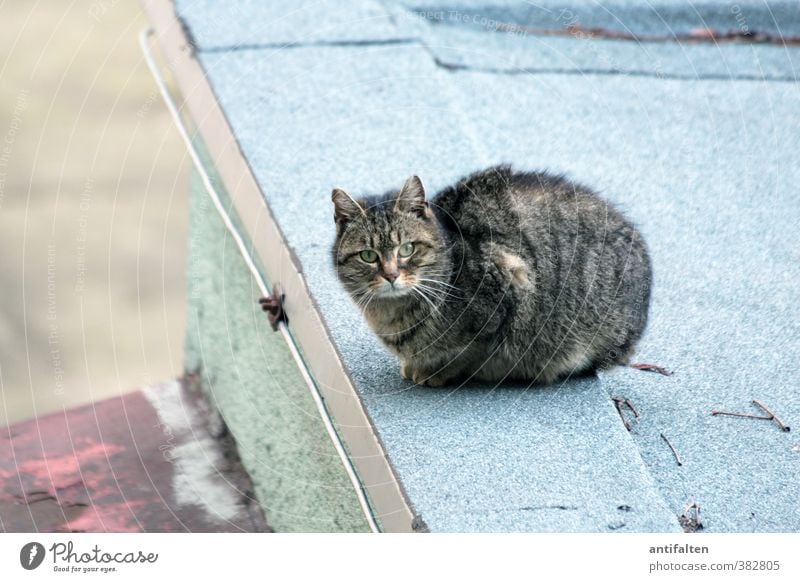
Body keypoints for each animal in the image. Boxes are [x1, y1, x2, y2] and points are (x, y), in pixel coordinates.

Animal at [332, 164, 648, 388]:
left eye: (407, 249)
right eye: (368, 255)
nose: (391, 275)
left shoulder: (510, 285)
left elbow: (465, 355)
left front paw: (434, 371)